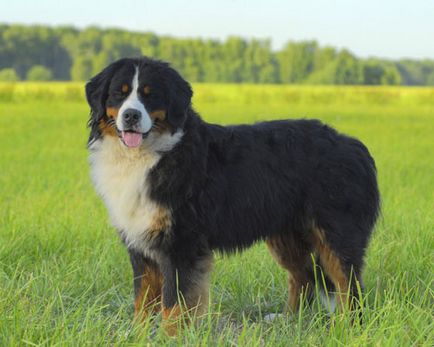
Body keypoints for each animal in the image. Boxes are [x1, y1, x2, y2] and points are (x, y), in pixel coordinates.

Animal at [85, 57, 380, 338]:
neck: (150, 156)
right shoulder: (141, 244)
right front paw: (138, 334)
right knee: (303, 276)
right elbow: (143, 301)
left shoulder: (181, 244)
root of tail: (353, 145)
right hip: (286, 236)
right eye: (119, 93)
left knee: (349, 285)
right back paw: (288, 320)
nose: (131, 116)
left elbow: (174, 303)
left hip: (336, 235)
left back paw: (349, 328)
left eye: (150, 94)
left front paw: (169, 337)